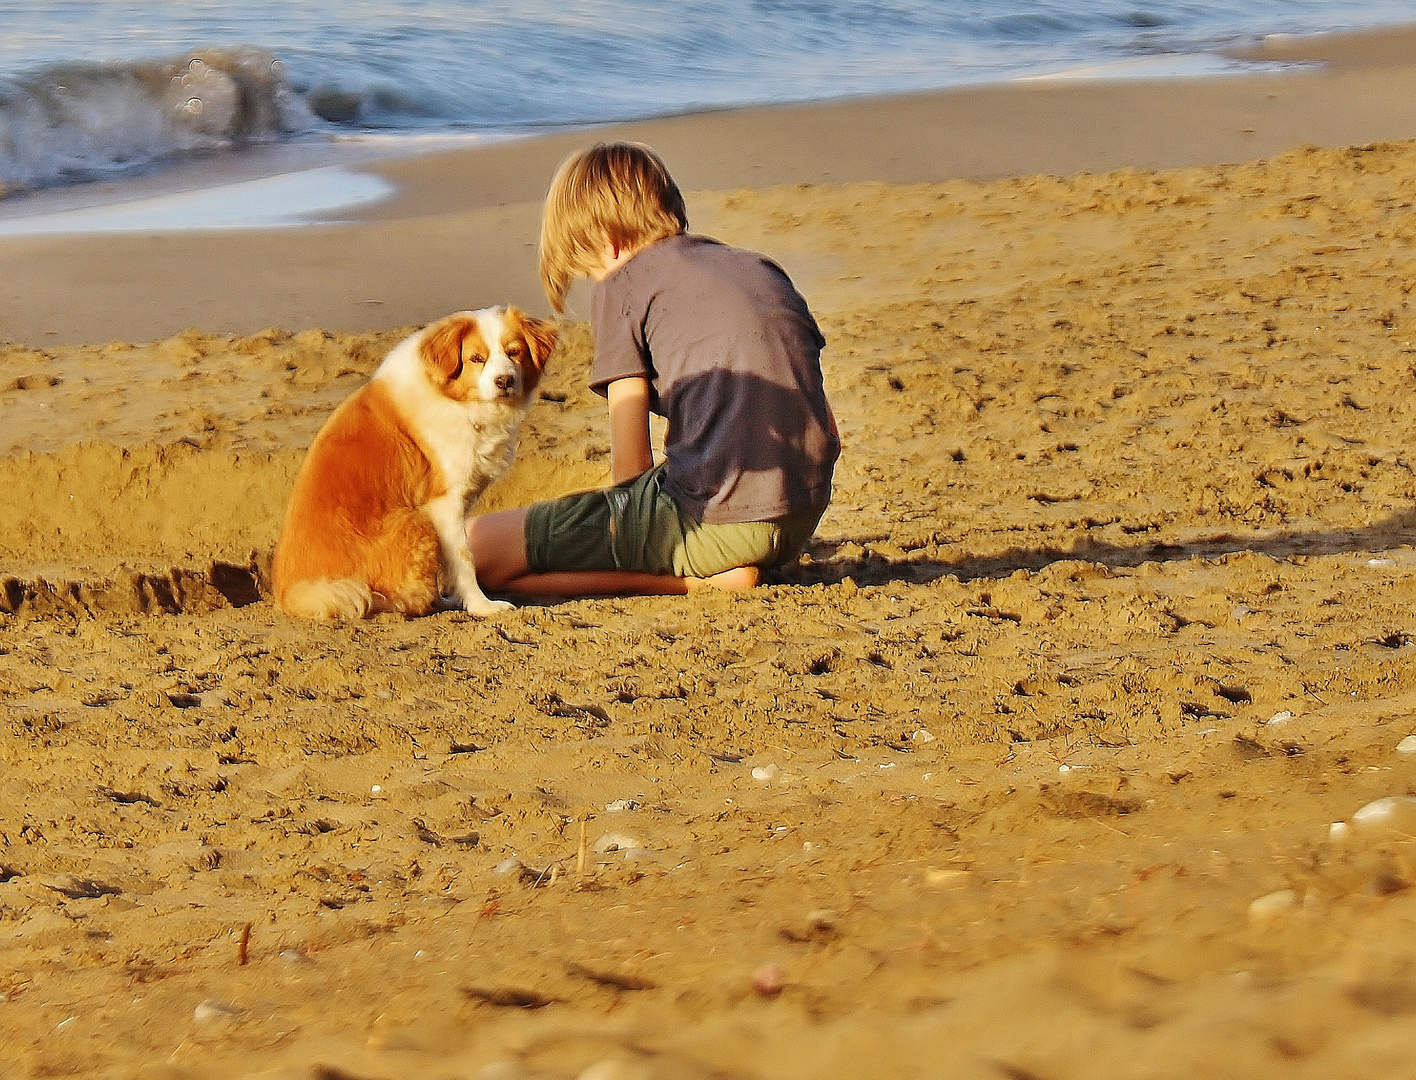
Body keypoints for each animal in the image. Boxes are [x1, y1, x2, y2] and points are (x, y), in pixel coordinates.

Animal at [273, 308, 555, 619]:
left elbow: (449, 563)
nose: (504, 381)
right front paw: (482, 607)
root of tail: (289, 595)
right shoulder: (444, 504)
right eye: (476, 358)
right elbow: (464, 560)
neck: (455, 398)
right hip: (415, 521)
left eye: (514, 352)